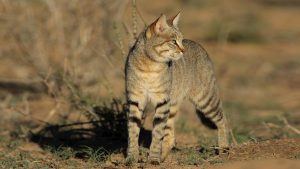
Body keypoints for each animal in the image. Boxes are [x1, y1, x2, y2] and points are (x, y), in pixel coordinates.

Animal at [125, 12, 229, 164]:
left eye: (181, 40)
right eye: (174, 41)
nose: (183, 50)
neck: (150, 67)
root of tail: (200, 46)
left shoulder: (162, 101)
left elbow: (157, 133)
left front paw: (153, 158)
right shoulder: (135, 99)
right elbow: (133, 131)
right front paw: (132, 157)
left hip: (205, 99)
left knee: (223, 119)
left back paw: (224, 148)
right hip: (173, 104)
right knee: (170, 136)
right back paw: (163, 157)